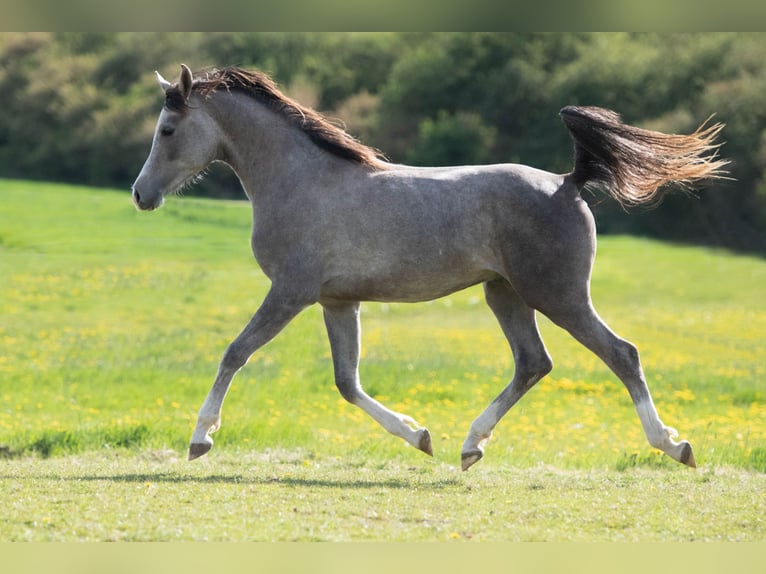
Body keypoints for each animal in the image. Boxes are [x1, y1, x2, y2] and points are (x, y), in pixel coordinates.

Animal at [132, 64, 727, 470]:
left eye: (166, 130)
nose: (140, 195)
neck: (301, 180)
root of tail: (569, 181)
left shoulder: (290, 291)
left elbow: (235, 352)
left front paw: (201, 438)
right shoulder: (337, 300)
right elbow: (346, 382)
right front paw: (419, 436)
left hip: (557, 295)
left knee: (622, 354)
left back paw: (674, 445)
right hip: (504, 294)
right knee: (533, 364)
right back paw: (470, 446)